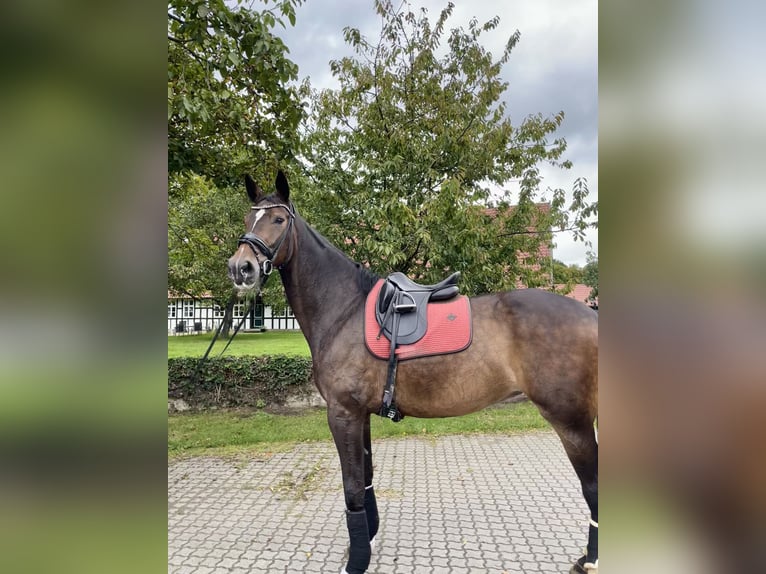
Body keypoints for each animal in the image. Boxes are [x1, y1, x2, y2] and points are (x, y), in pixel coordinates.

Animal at [227, 171, 598, 574]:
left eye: (278, 219)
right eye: (248, 219)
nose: (240, 268)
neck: (344, 309)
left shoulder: (342, 413)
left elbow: (352, 487)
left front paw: (356, 560)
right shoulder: (360, 414)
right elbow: (366, 479)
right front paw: (369, 539)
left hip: (571, 420)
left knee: (593, 485)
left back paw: (591, 559)